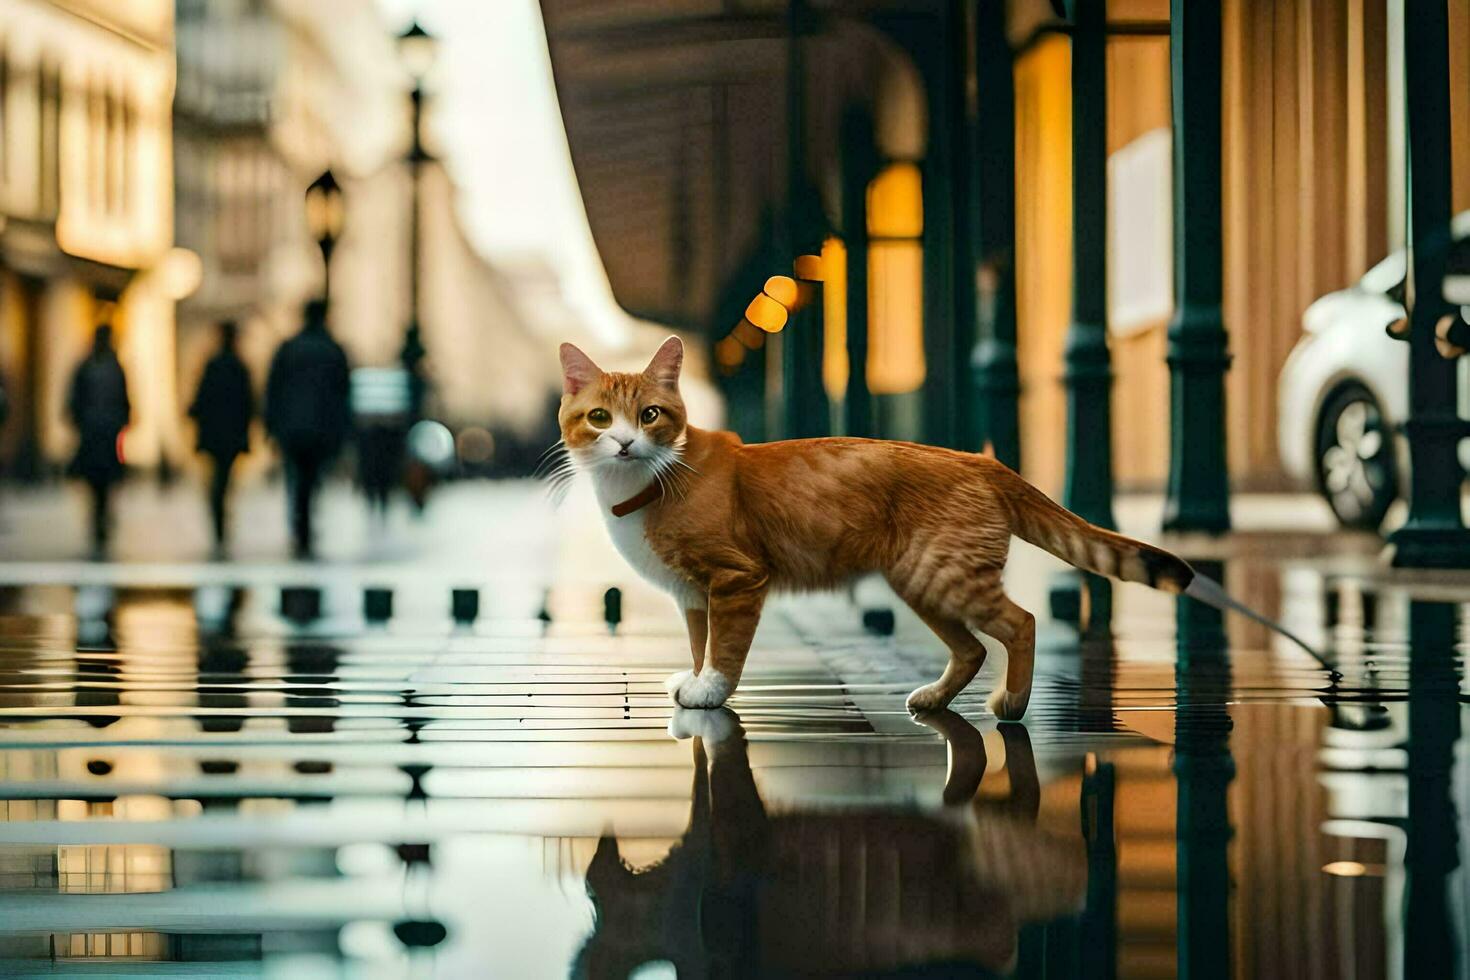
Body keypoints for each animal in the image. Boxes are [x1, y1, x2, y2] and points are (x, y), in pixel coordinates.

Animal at [555, 337, 1234, 719]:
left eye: (650, 415)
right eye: (599, 417)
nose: (624, 443)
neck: (647, 484)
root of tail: (981, 458)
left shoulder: (735, 580)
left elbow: (724, 648)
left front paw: (711, 691)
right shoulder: (695, 595)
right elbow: (700, 643)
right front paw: (695, 679)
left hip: (944, 575)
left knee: (1020, 624)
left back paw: (1013, 704)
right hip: (922, 579)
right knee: (972, 648)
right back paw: (934, 699)